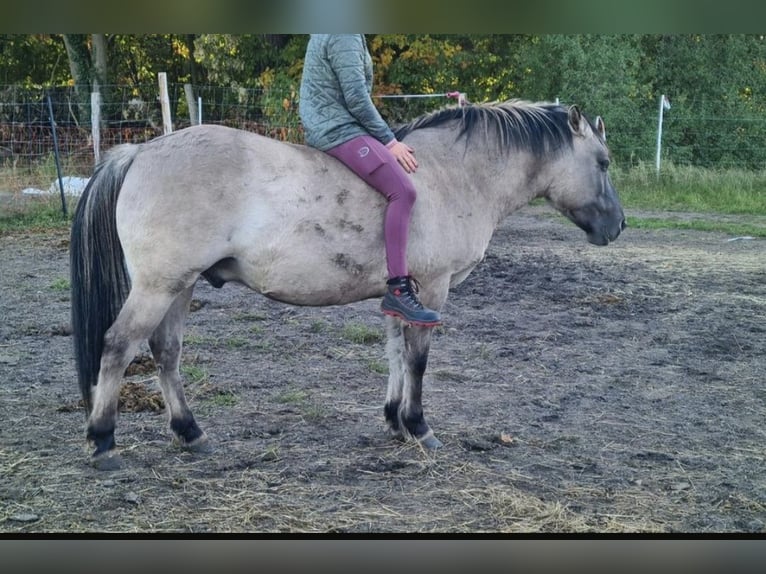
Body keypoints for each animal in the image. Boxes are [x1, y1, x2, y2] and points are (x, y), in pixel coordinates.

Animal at [69, 99, 628, 470]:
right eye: (603, 162)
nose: (618, 226)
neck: (452, 174)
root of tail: (141, 152)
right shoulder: (432, 289)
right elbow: (418, 359)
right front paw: (419, 427)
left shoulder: (401, 294)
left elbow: (396, 353)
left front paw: (394, 421)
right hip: (158, 287)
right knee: (118, 347)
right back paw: (102, 441)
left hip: (180, 287)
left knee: (166, 353)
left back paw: (190, 433)